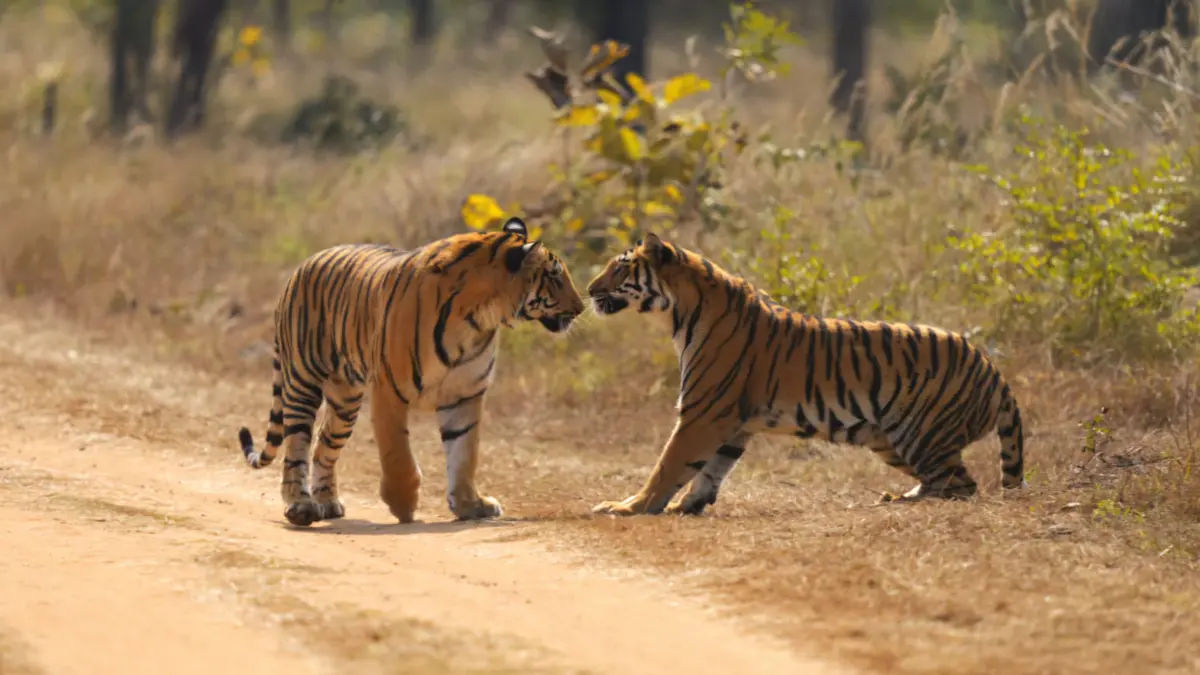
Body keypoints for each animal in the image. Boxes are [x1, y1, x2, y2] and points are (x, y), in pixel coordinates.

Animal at [236, 217, 585, 527]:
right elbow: (397, 454)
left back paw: (328, 503)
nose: (581, 307)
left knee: (324, 443)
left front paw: (470, 505)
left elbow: (464, 453)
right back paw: (300, 506)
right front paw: (403, 504)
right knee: (296, 447)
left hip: (345, 399)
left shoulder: (465, 394)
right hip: (302, 383)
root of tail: (303, 265)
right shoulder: (388, 389)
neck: (481, 318)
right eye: (555, 276)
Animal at [585, 233, 1027, 517]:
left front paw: (630, 506)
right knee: (944, 481)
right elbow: (711, 471)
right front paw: (687, 506)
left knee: (961, 486)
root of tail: (993, 369)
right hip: (890, 440)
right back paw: (895, 498)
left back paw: (903, 503)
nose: (589, 289)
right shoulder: (733, 424)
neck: (679, 315)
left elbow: (668, 465)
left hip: (920, 433)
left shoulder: (703, 414)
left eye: (620, 269)